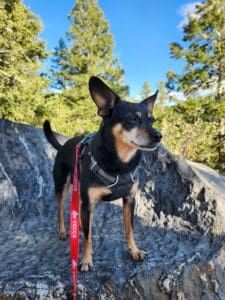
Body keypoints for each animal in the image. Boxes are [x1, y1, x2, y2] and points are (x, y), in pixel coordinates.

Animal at [43, 75, 162, 272]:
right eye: (131, 120)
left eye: (152, 120)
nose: (158, 136)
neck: (120, 163)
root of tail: (62, 146)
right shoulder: (88, 204)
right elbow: (87, 236)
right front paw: (85, 259)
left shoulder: (129, 200)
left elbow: (129, 229)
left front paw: (134, 250)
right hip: (62, 186)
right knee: (60, 210)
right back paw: (62, 231)